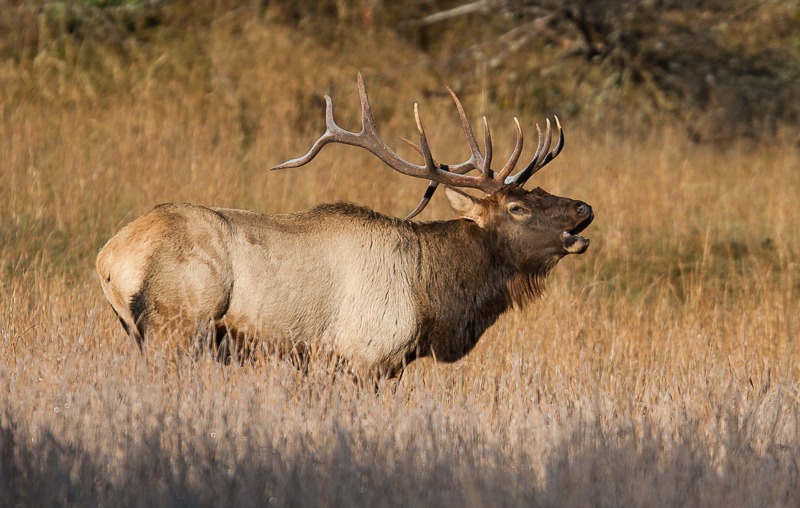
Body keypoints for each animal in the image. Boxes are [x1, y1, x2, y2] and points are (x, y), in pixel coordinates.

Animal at [95, 74, 592, 378]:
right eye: (517, 207)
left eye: (542, 191)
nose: (584, 207)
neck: (433, 296)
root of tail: (109, 257)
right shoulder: (365, 354)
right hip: (178, 325)